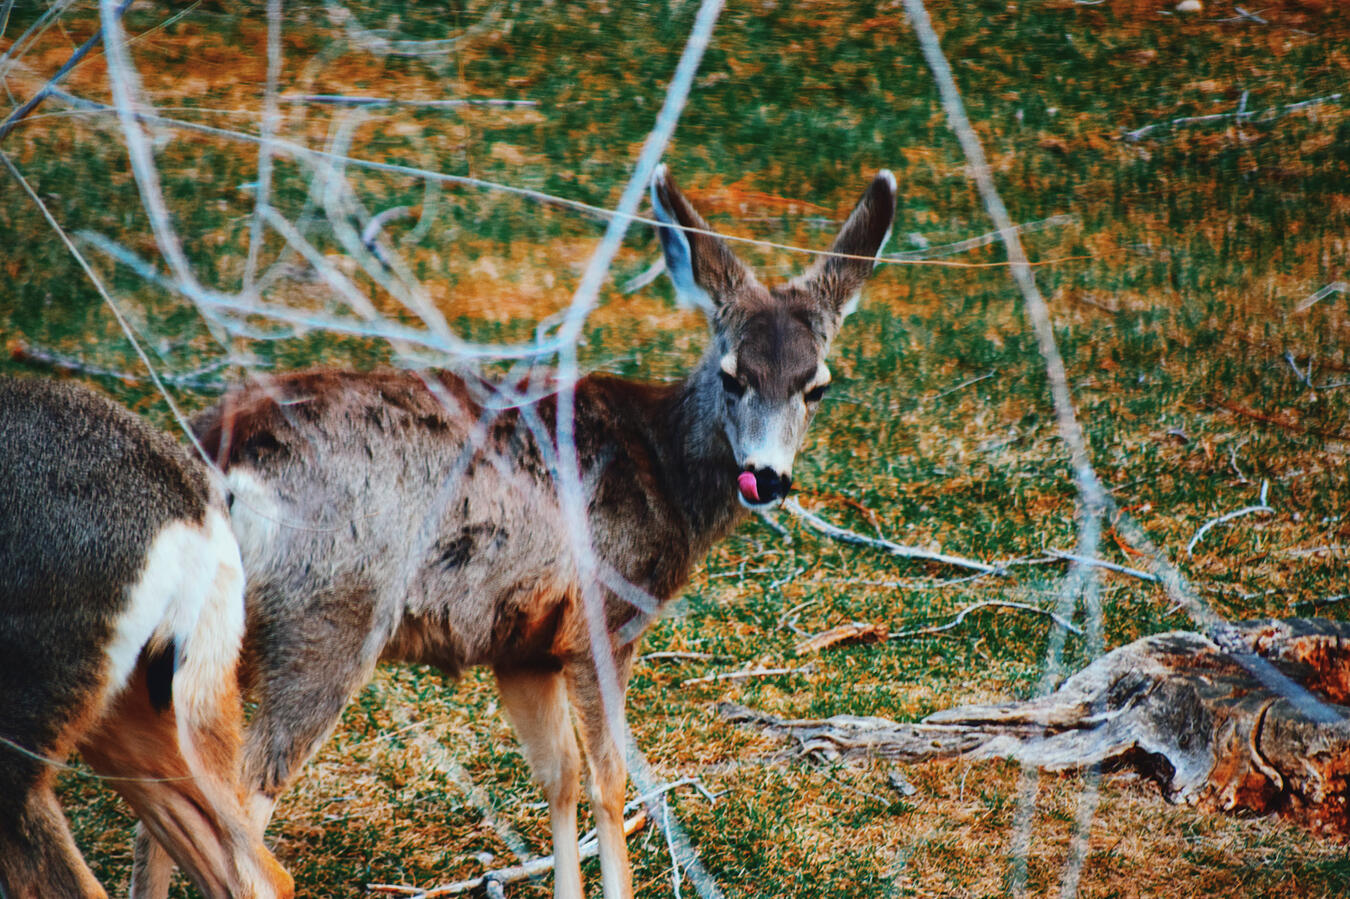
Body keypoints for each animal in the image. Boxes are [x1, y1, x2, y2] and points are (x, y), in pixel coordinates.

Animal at [132, 165, 896, 899]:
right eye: (734, 376)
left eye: (817, 385)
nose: (767, 476)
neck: (662, 467)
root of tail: (215, 458)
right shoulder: (603, 617)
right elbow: (609, 780)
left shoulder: (521, 645)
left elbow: (558, 774)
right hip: (325, 618)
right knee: (241, 813)